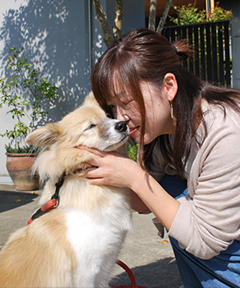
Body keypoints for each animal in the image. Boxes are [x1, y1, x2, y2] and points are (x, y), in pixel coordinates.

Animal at [0, 93, 131, 288]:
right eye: (90, 126)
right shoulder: (87, 274)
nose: (122, 124)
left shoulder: (104, 268)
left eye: (107, 116)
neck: (80, 172)